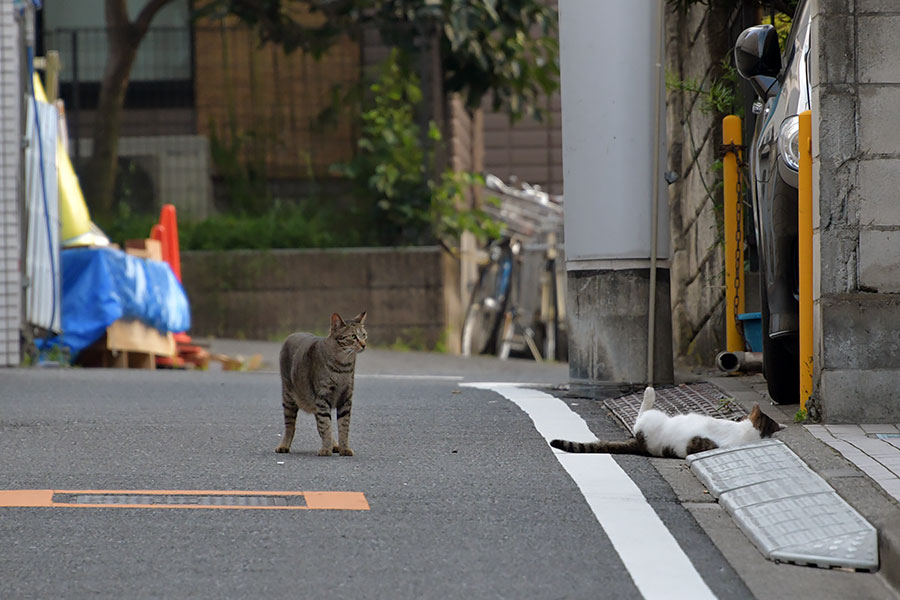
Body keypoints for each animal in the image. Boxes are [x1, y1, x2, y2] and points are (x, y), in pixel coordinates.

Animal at [278, 312, 370, 458]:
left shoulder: (346, 398)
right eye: (353, 336)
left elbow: (343, 427)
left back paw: (335, 444)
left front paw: (344, 448)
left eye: (364, 335)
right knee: (290, 426)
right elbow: (326, 425)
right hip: (288, 398)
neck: (343, 367)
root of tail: (292, 334)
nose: (364, 345)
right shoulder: (323, 397)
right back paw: (284, 445)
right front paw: (326, 449)